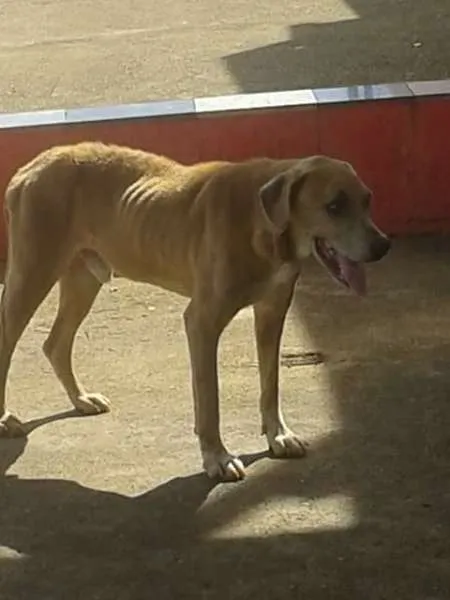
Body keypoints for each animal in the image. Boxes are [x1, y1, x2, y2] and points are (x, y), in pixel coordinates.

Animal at [0, 143, 388, 480]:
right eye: (334, 206)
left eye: (367, 200)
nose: (383, 246)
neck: (259, 220)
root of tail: (32, 166)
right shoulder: (202, 322)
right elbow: (210, 399)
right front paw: (217, 456)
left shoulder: (272, 312)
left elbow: (270, 382)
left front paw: (277, 435)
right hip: (31, 275)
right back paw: (4, 418)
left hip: (83, 279)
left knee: (56, 343)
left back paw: (80, 399)